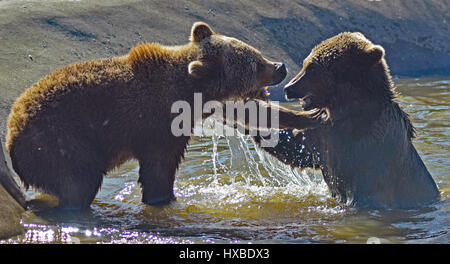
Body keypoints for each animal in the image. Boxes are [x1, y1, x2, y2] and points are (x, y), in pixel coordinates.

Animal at [6, 21, 324, 209]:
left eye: (255, 52)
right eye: (255, 63)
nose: (281, 66)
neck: (191, 91)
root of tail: (10, 134)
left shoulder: (211, 107)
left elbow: (252, 113)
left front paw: (311, 115)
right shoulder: (157, 123)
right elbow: (159, 168)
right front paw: (164, 197)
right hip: (61, 142)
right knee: (80, 181)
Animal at [256, 33, 440, 209]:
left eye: (312, 68)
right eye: (305, 63)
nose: (288, 88)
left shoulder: (366, 147)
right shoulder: (322, 135)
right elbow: (296, 148)